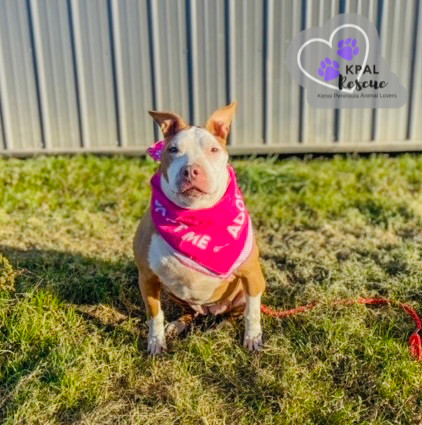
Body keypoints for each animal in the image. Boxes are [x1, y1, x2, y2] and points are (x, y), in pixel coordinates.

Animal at [134, 102, 268, 354]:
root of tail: (209, 309)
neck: (196, 217)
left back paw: (221, 326)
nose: (191, 170)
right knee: (189, 313)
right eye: (173, 149)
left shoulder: (251, 274)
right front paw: (156, 342)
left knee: (234, 314)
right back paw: (177, 325)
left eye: (213, 150)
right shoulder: (147, 278)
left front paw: (253, 338)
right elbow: (154, 316)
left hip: (244, 292)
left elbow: (252, 312)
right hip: (173, 292)